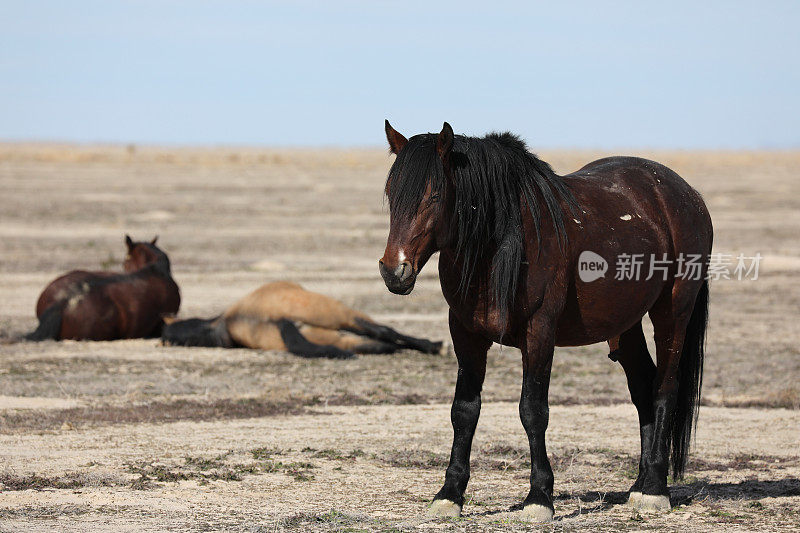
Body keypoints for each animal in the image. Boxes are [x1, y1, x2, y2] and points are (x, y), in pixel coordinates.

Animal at [382, 120, 712, 520]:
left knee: (664, 389)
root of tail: (686, 195)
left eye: (434, 196)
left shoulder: (539, 333)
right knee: (643, 387)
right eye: (391, 194)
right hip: (625, 325)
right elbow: (464, 410)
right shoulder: (465, 334)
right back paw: (639, 483)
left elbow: (533, 410)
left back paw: (655, 490)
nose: (394, 270)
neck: (500, 244)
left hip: (673, 312)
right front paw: (450, 493)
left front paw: (539, 497)